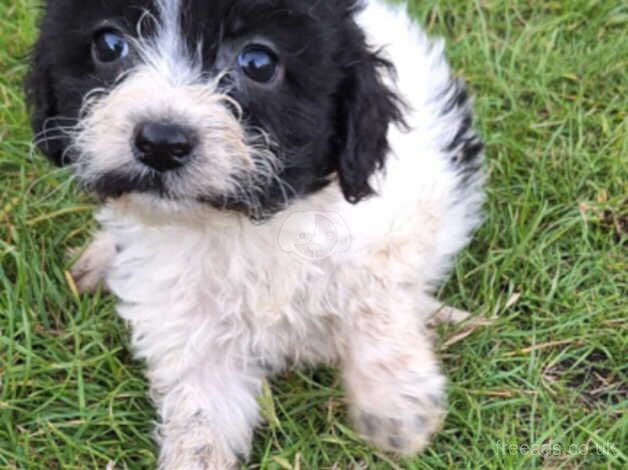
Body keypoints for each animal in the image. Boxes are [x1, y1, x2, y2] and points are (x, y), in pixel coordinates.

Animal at [25, 0, 486, 468]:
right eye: (109, 45)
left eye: (259, 64)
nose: (161, 142)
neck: (244, 222)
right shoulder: (189, 329)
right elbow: (201, 422)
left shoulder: (394, 218)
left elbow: (375, 293)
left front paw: (396, 401)